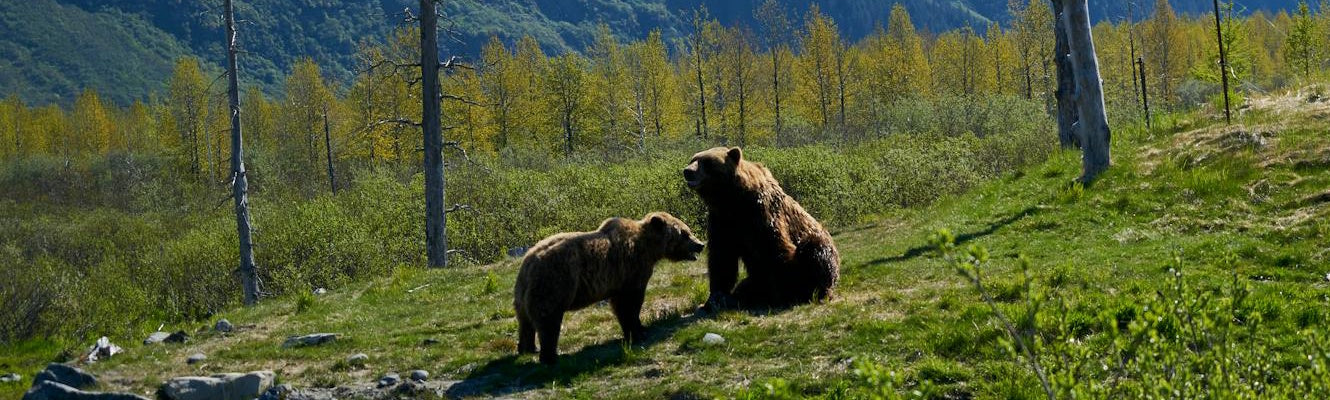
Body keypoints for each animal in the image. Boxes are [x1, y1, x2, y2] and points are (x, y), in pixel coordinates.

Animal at [513, 212, 705, 365]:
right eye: (684, 233)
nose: (701, 244)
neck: (650, 250)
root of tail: (529, 262)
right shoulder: (630, 270)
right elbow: (630, 303)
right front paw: (638, 331)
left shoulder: (620, 278)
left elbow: (621, 305)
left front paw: (638, 329)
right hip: (555, 282)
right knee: (548, 319)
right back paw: (550, 356)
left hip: (523, 293)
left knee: (525, 321)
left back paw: (528, 348)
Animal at [682, 146, 840, 310]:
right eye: (693, 159)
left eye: (706, 162)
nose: (687, 171)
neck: (732, 200)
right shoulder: (722, 220)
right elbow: (722, 256)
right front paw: (715, 297)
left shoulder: (761, 212)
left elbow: (774, 246)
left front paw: (786, 292)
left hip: (819, 249)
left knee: (814, 250)